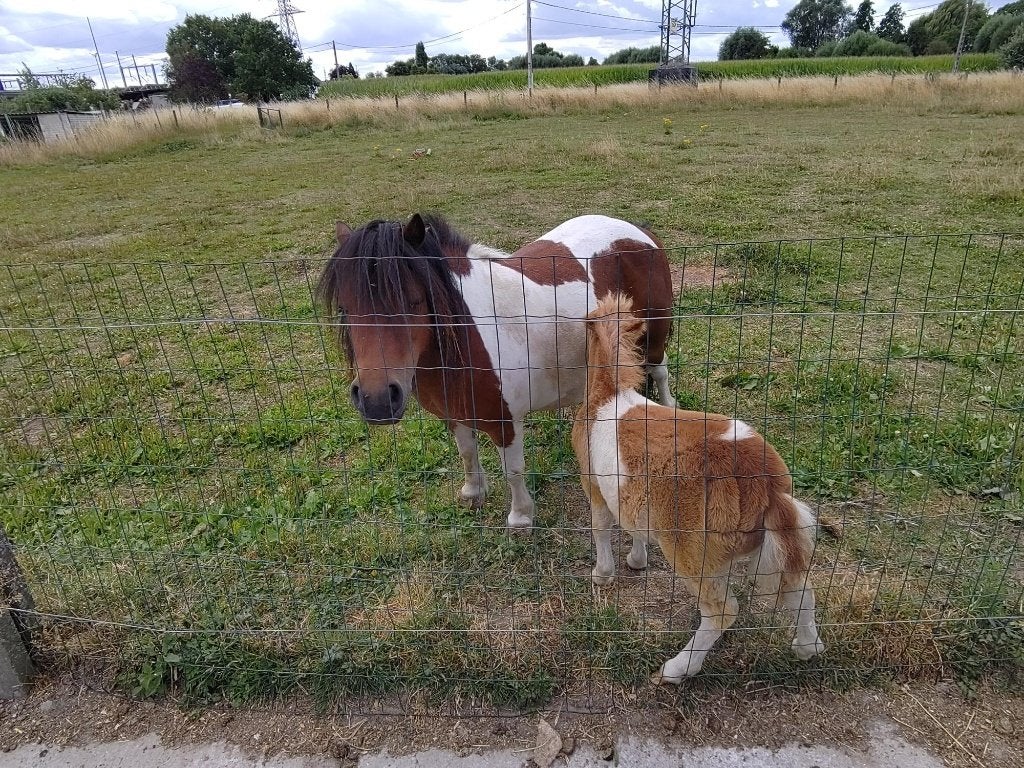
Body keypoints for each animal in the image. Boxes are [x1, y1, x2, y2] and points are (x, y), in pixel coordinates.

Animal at [316, 213, 674, 528]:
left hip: (654, 341)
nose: (376, 401)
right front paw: (473, 492)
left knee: (659, 371)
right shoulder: (455, 414)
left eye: (414, 301)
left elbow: (513, 471)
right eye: (345, 307)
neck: (465, 339)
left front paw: (521, 518)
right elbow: (466, 451)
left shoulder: (505, 422)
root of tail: (639, 231)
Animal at [572, 293, 825, 682]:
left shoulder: (594, 487)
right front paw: (637, 561)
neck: (609, 397)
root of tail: (766, 486)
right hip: (768, 543)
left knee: (722, 610)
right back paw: (807, 647)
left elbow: (600, 527)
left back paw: (677, 669)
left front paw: (602, 575)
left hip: (694, 553)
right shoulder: (634, 498)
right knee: (800, 587)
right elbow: (636, 528)